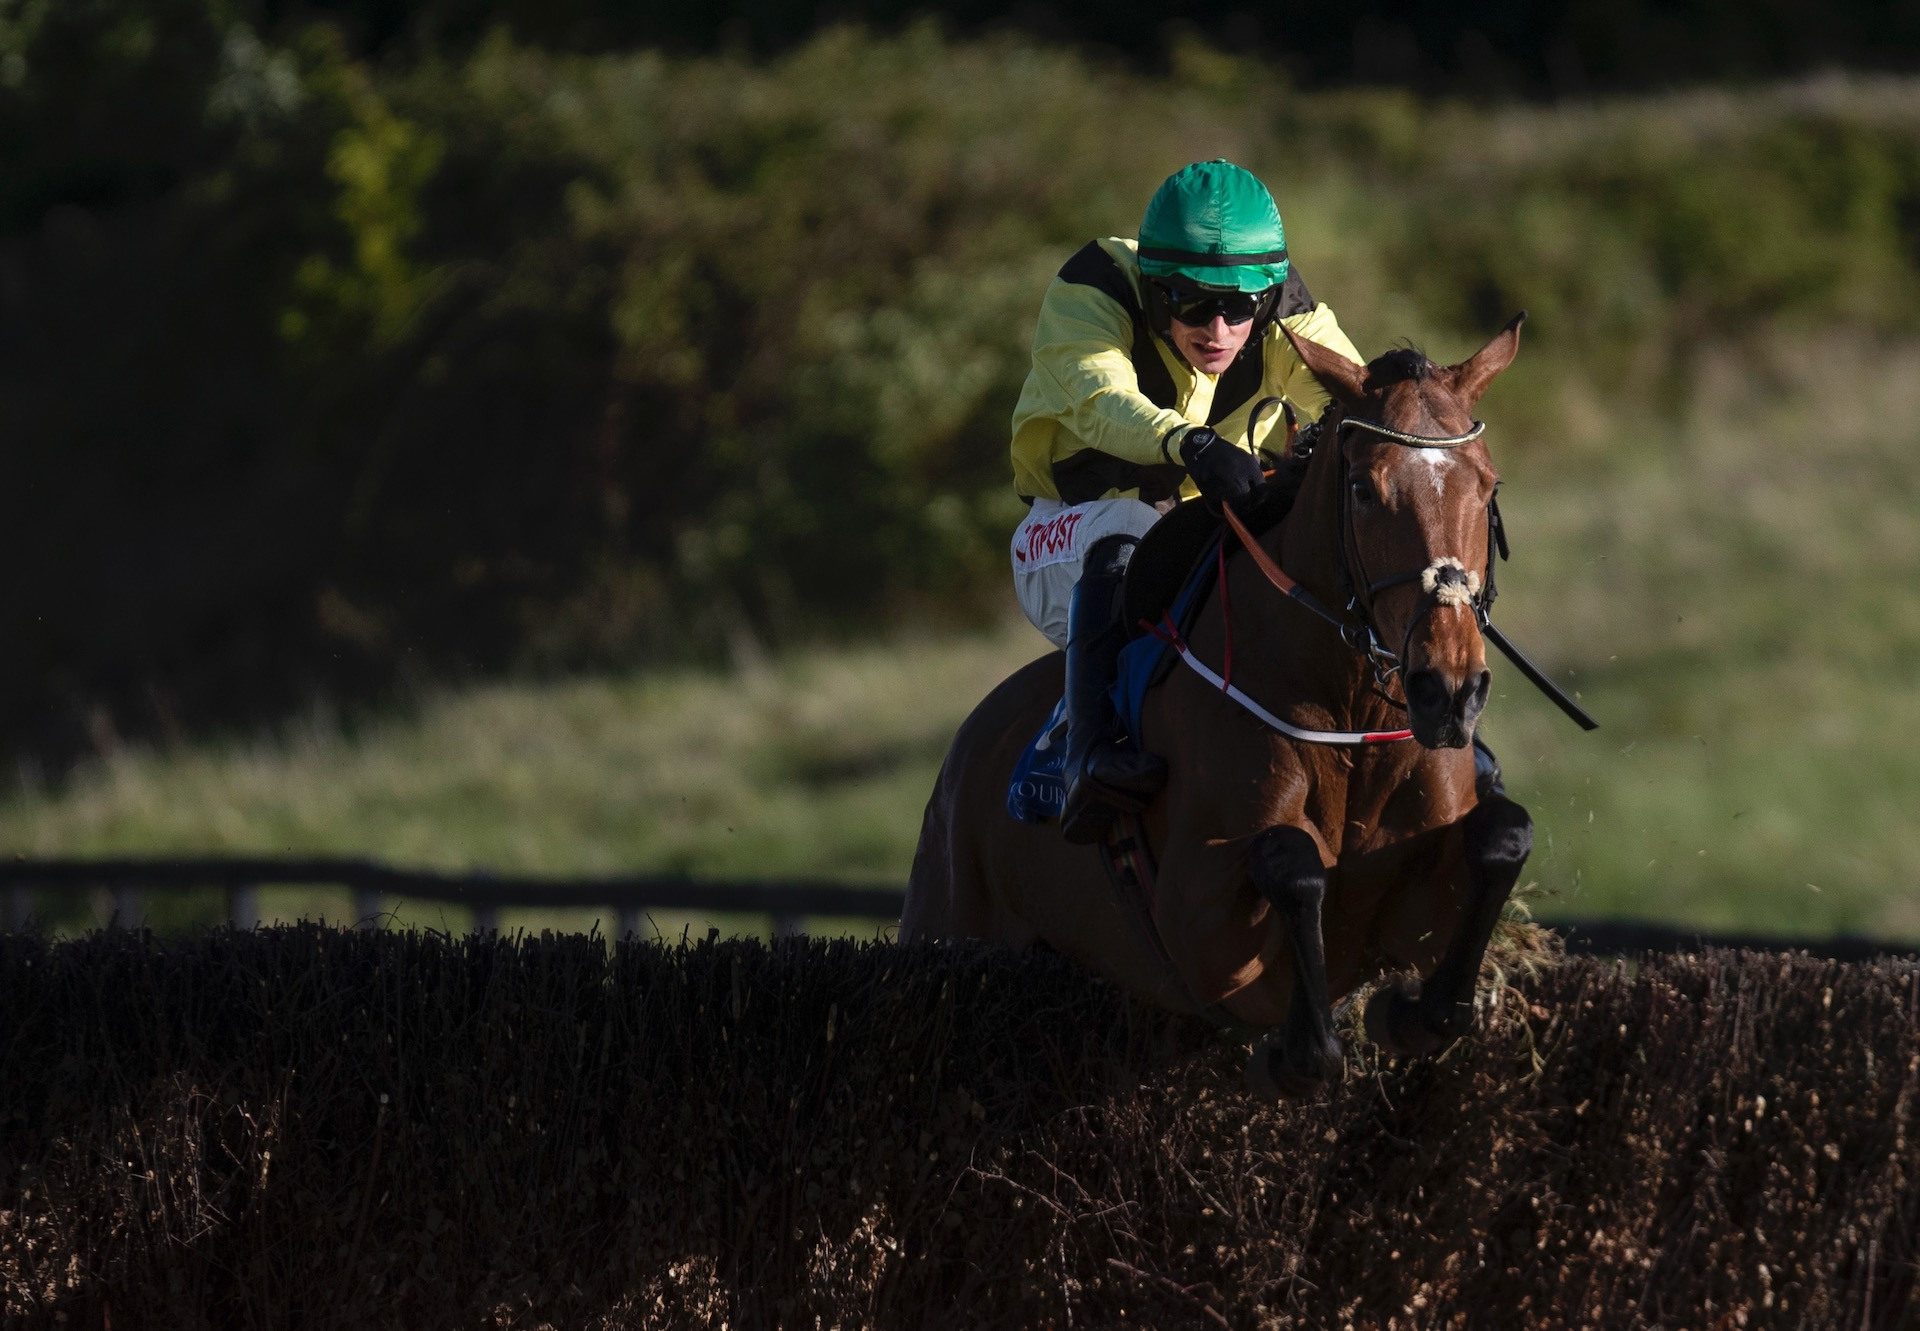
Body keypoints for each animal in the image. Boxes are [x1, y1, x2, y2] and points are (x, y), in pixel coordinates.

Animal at [902, 316, 1543, 1098]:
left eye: (1488, 485)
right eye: (1364, 489)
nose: (1447, 689)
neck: (1348, 713)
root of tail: (966, 749)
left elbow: (1503, 835)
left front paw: (1412, 1013)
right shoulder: (1199, 926)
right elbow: (1291, 862)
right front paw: (1297, 1053)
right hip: (948, 926)